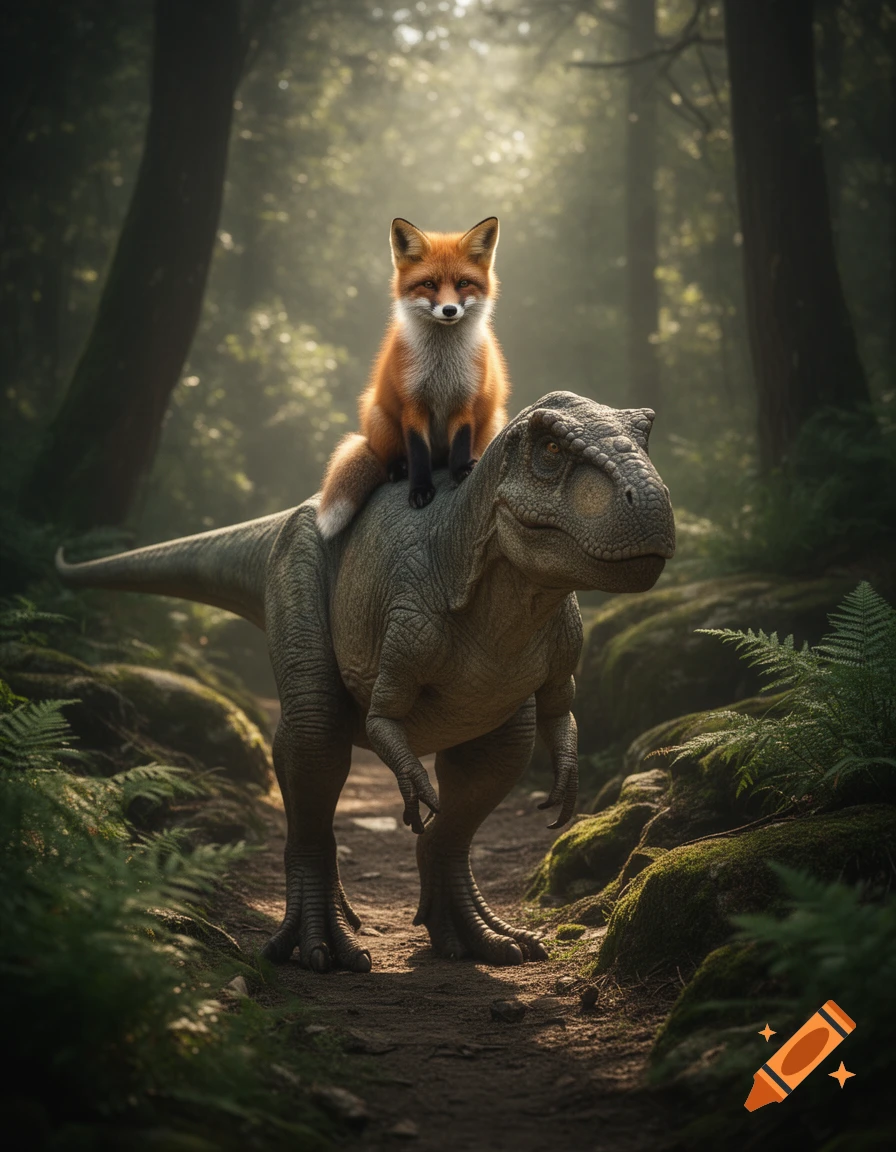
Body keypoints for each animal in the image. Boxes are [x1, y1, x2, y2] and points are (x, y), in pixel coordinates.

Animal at [316, 216, 510, 538]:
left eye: (463, 284)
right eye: (429, 284)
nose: (449, 310)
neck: (442, 366)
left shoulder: (464, 401)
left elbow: (461, 442)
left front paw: (461, 471)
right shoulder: (412, 404)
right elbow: (418, 453)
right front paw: (419, 489)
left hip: (494, 419)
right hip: (378, 416)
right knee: (389, 460)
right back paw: (398, 468)